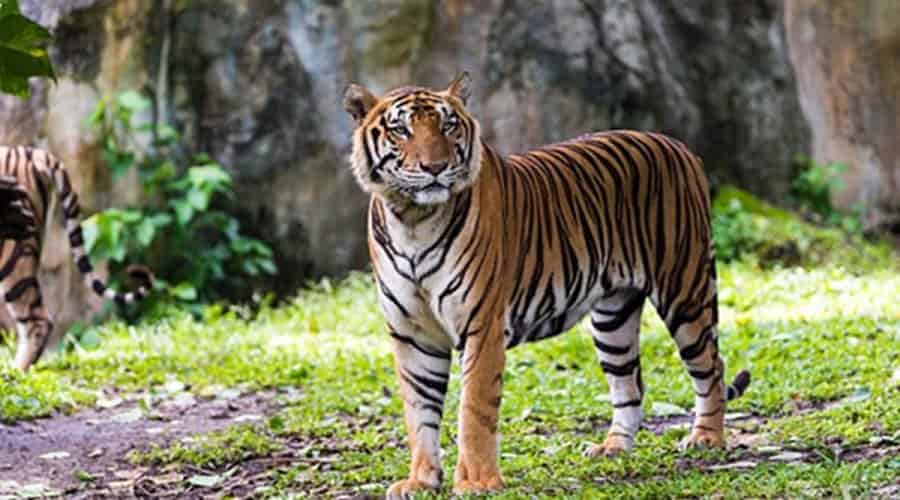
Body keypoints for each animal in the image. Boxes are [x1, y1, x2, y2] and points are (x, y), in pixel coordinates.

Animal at [343, 72, 752, 498]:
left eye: (448, 125)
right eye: (401, 130)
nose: (436, 167)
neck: (412, 220)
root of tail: (677, 145)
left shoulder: (482, 326)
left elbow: (474, 408)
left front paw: (476, 482)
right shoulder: (412, 334)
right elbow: (418, 410)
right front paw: (421, 480)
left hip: (685, 290)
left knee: (712, 367)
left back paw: (706, 438)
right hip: (614, 318)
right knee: (630, 386)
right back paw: (613, 448)